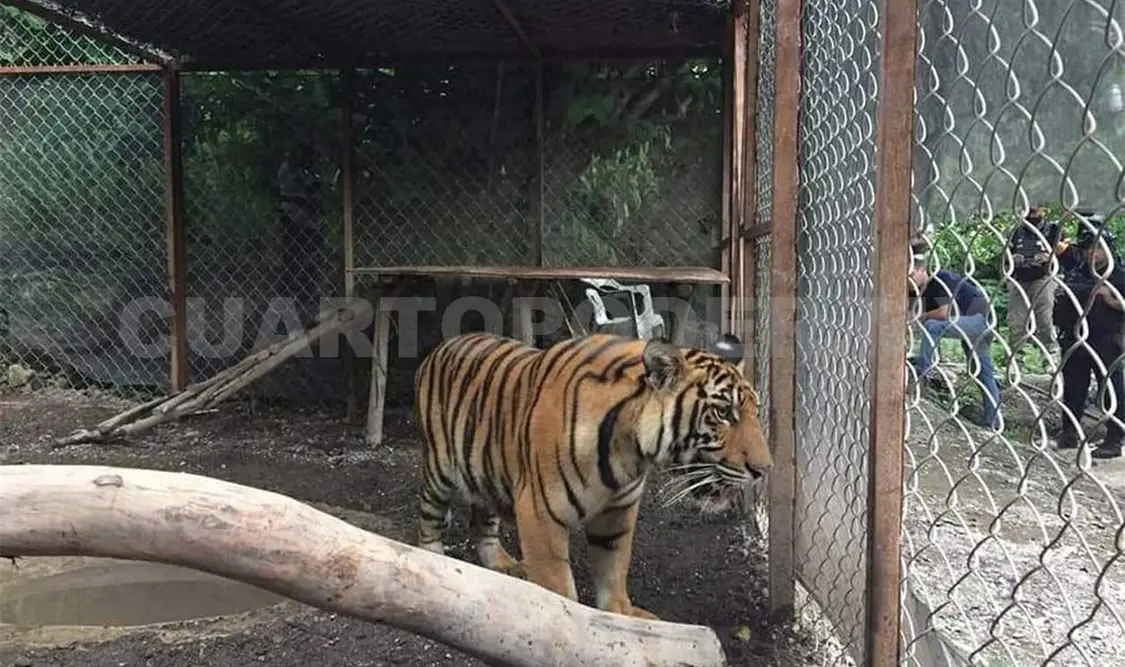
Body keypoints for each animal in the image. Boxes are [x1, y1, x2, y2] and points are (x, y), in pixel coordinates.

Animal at [412, 330, 772, 620]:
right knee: (429, 517)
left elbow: (614, 570)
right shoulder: (539, 513)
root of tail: (443, 344)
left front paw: (621, 615)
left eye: (755, 412)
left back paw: (502, 563)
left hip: (485, 472)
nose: (765, 469)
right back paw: (434, 558)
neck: (630, 451)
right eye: (723, 413)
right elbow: (559, 588)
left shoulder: (619, 512)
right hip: (439, 468)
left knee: (482, 522)